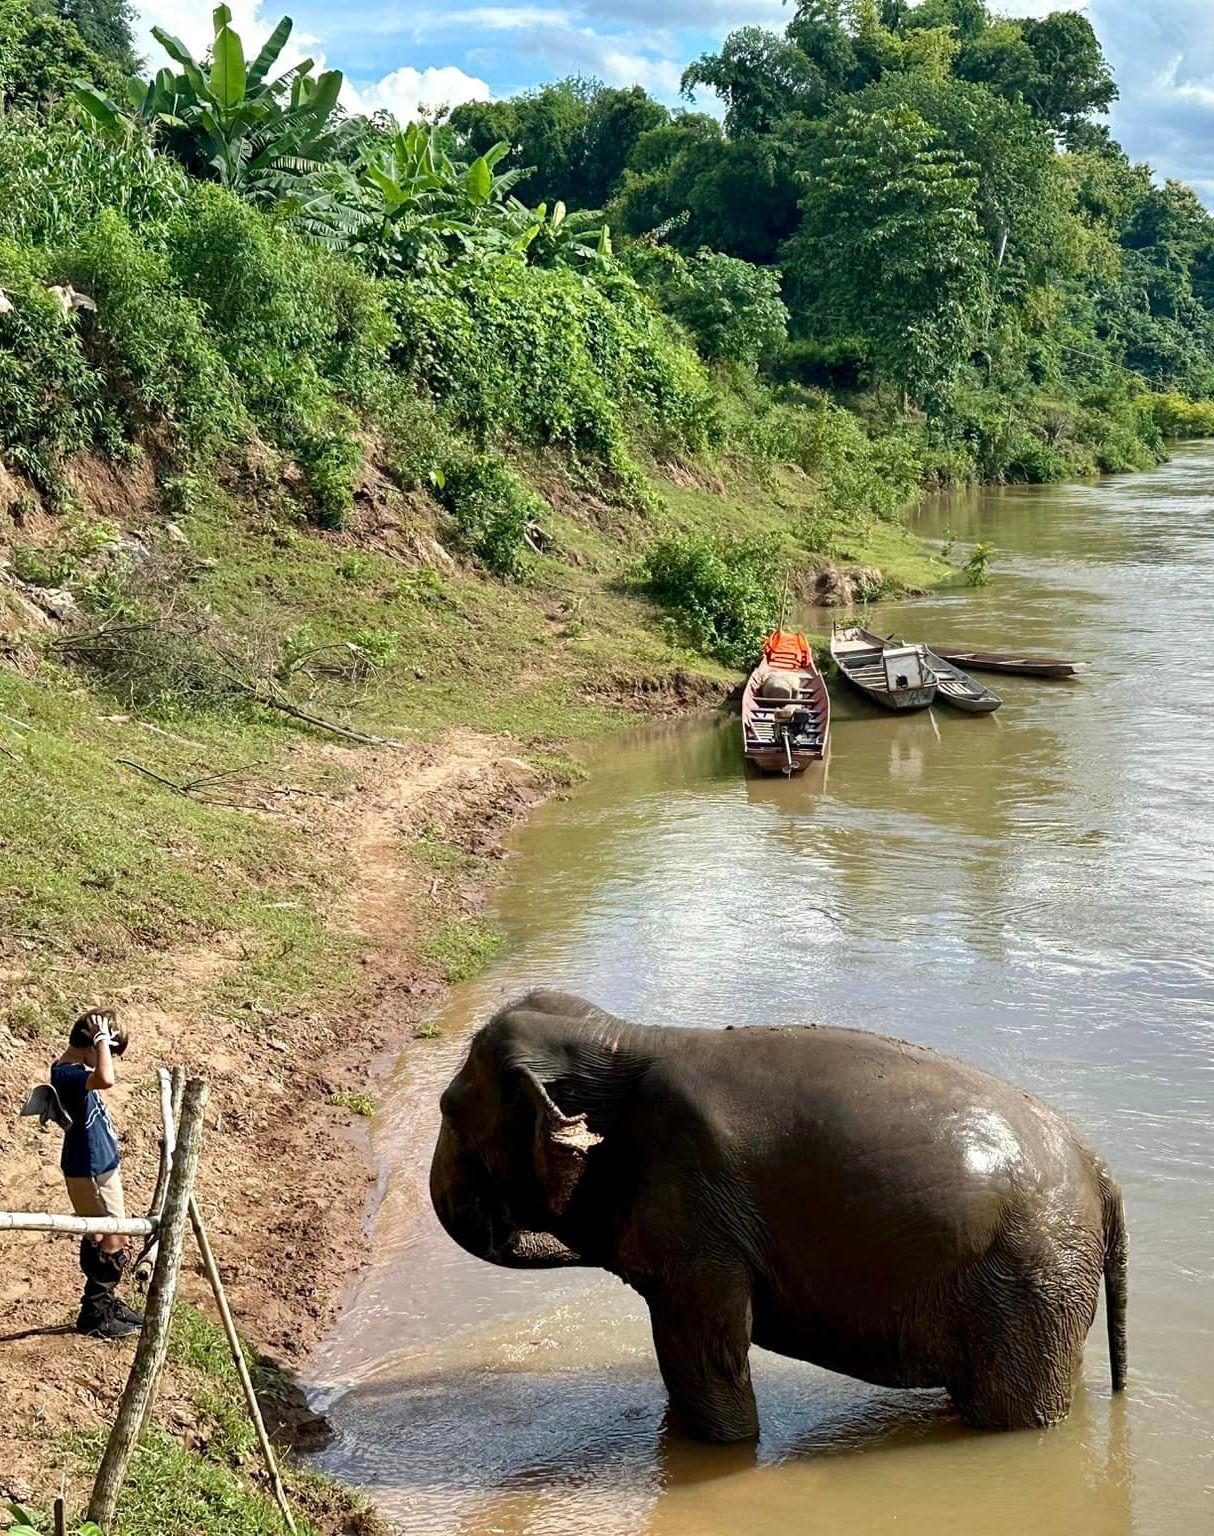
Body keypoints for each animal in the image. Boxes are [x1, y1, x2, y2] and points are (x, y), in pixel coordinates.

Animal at [430, 990, 1128, 1443]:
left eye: (449, 1108)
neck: (621, 1035)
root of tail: (1100, 1171)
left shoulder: (697, 1214)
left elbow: (703, 1353)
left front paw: (723, 1451)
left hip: (1029, 1283)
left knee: (1010, 1412)